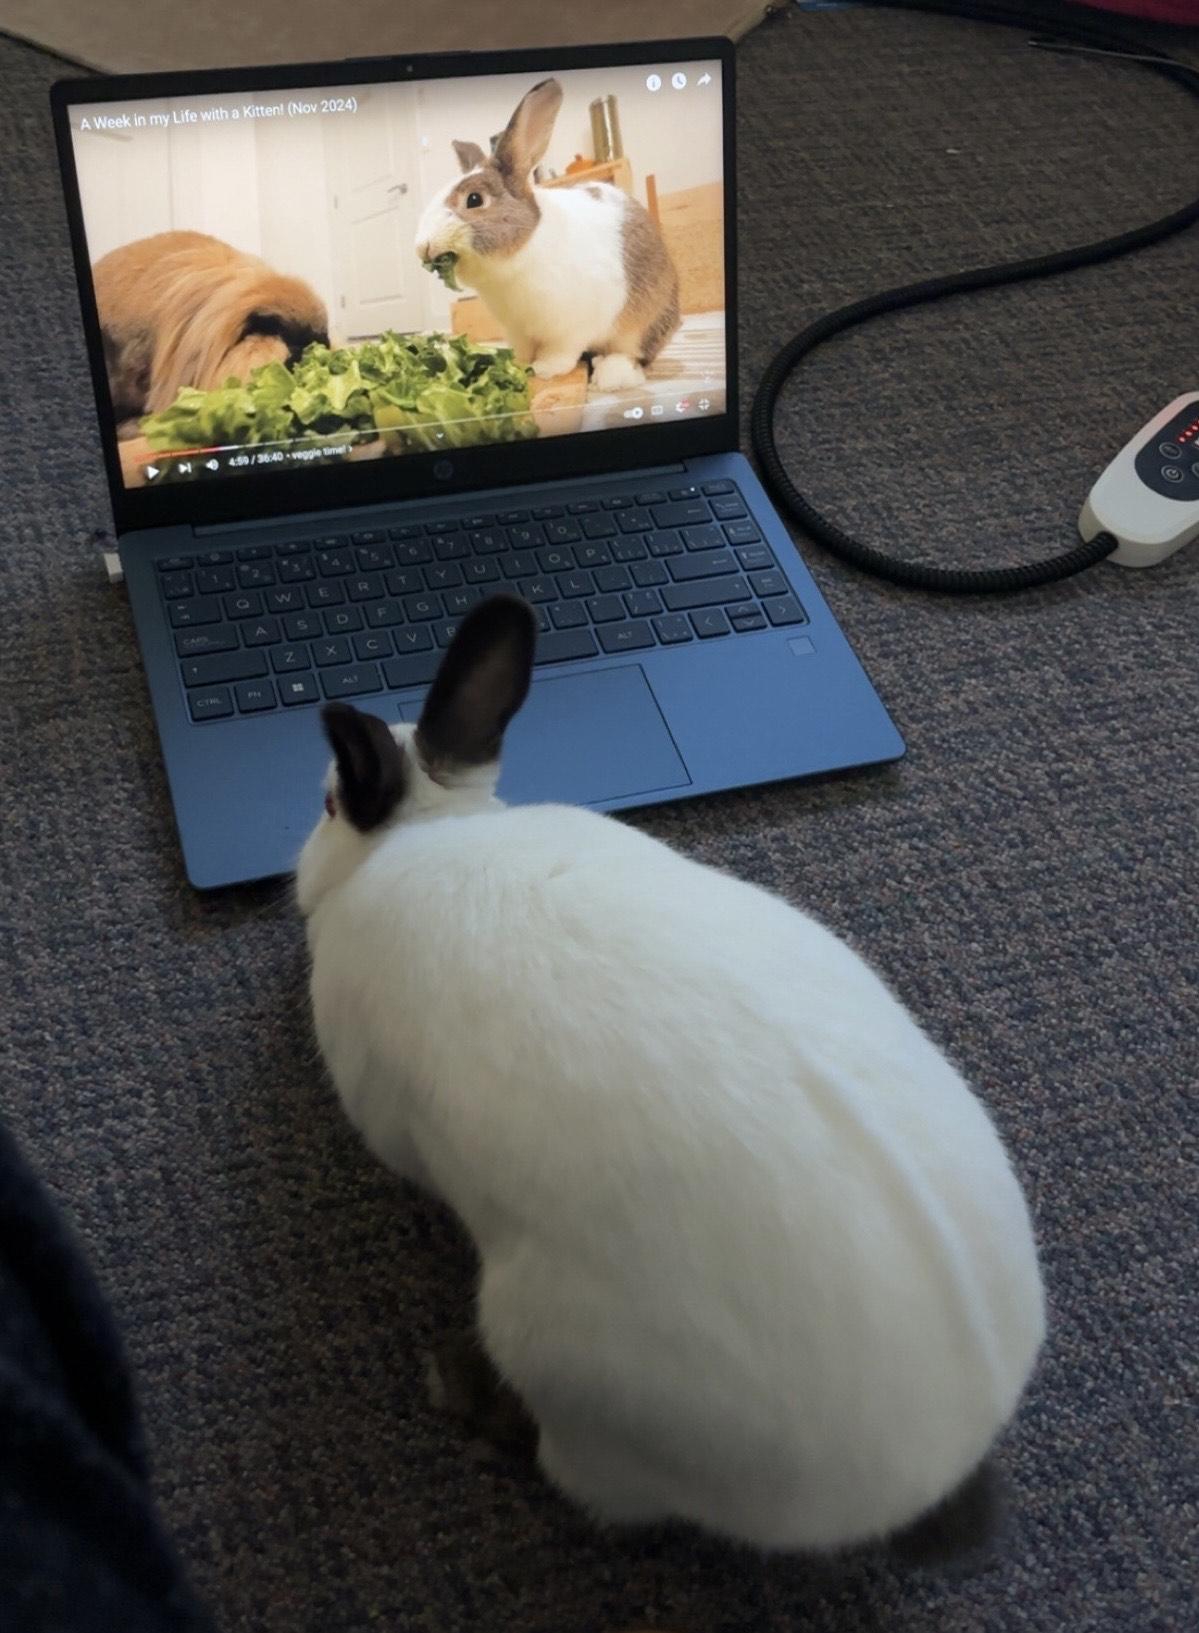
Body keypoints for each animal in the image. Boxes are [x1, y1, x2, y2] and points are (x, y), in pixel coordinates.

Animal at [296, 595, 1046, 1556]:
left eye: (327, 801)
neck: (431, 831)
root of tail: (934, 1467)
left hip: (564, 1366)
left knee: (577, 1476)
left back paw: (455, 1382)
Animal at [414, 79, 680, 390]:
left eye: (474, 200)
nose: (422, 247)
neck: (514, 261)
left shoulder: (571, 327)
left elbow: (561, 352)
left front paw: (545, 370)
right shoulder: (517, 330)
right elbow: (523, 350)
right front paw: (518, 365)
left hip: (640, 325)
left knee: (633, 355)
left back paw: (610, 375)